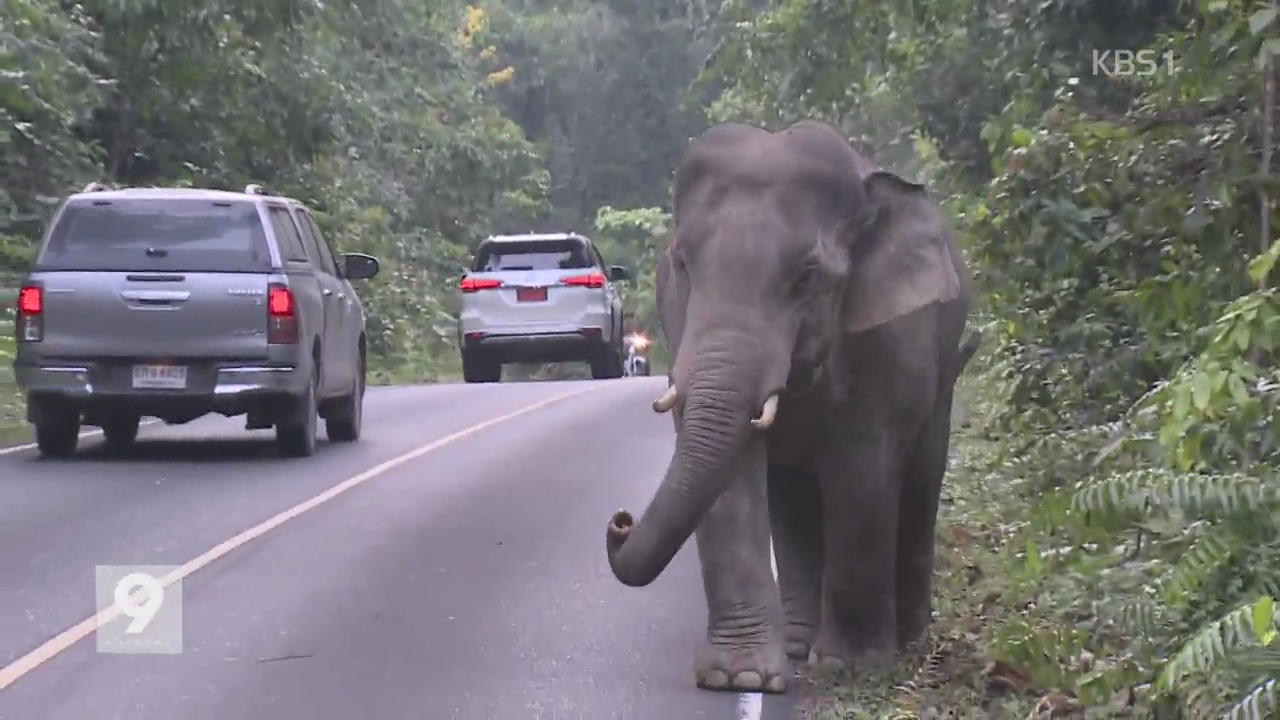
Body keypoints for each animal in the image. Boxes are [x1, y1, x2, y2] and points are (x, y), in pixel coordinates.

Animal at [601, 120, 977, 691]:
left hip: (942, 375)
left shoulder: (893, 335)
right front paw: (739, 677)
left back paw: (908, 643)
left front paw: (851, 669)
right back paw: (800, 645)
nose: (620, 521)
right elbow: (731, 477)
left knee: (919, 481)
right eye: (683, 264)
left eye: (807, 274)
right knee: (793, 498)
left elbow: (864, 465)